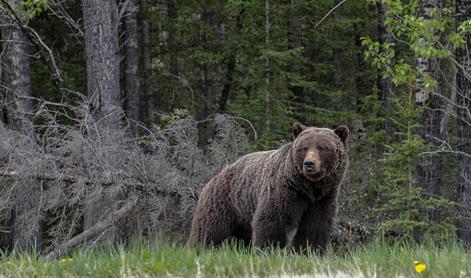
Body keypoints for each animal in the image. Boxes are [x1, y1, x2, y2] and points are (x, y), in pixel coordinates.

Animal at [189, 121, 350, 252]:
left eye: (322, 147)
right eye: (304, 148)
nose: (309, 163)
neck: (309, 187)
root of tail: (214, 178)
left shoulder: (322, 199)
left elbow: (315, 226)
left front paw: (308, 251)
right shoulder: (285, 190)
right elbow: (272, 220)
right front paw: (269, 249)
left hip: (241, 214)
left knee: (241, 237)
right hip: (223, 202)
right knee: (208, 230)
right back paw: (197, 248)